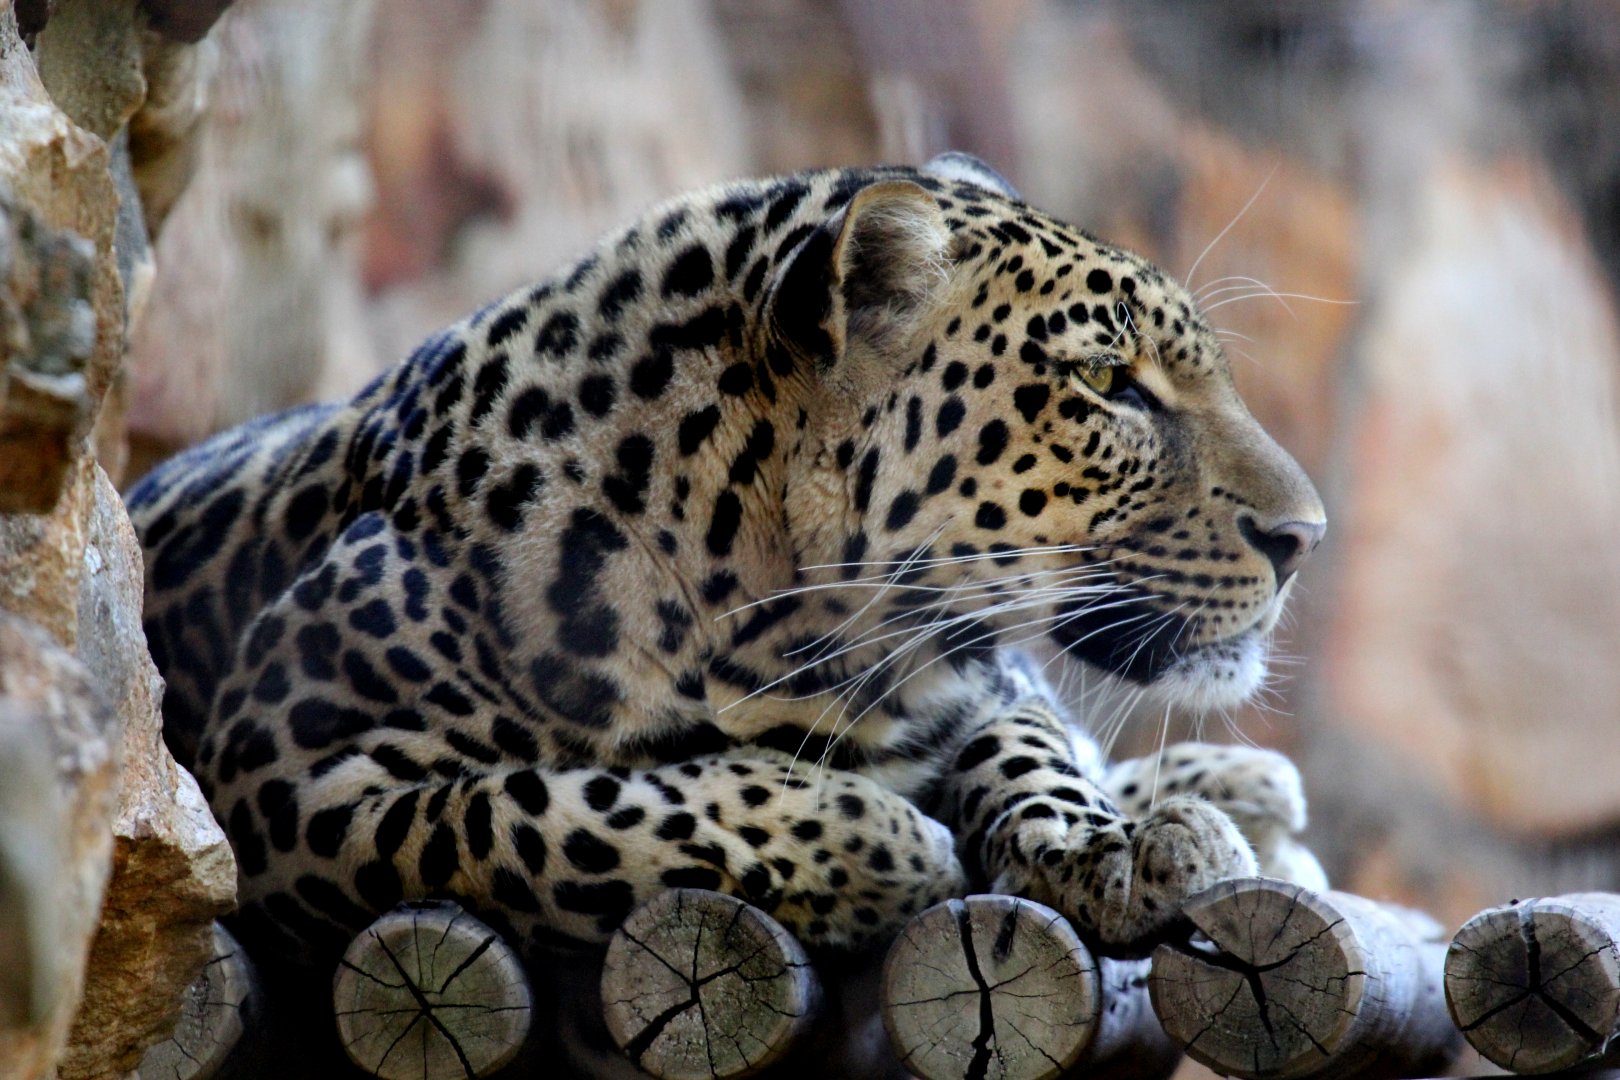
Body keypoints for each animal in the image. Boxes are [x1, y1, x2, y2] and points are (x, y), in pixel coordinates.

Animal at [126, 153, 1327, 979]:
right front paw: (886, 844)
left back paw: (1234, 791)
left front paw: (1106, 848)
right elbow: (553, 816)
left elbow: (1027, 742)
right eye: (1109, 384)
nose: (1305, 536)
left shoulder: (980, 680)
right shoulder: (282, 772)